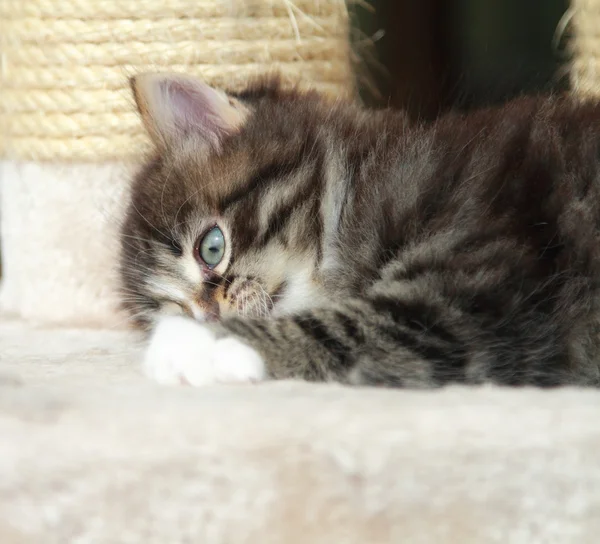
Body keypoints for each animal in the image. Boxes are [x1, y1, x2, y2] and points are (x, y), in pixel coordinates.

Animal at [118, 73, 600, 386]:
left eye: (212, 248)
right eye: (174, 309)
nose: (209, 316)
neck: (357, 189)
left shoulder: (476, 289)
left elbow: (345, 327)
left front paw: (195, 346)